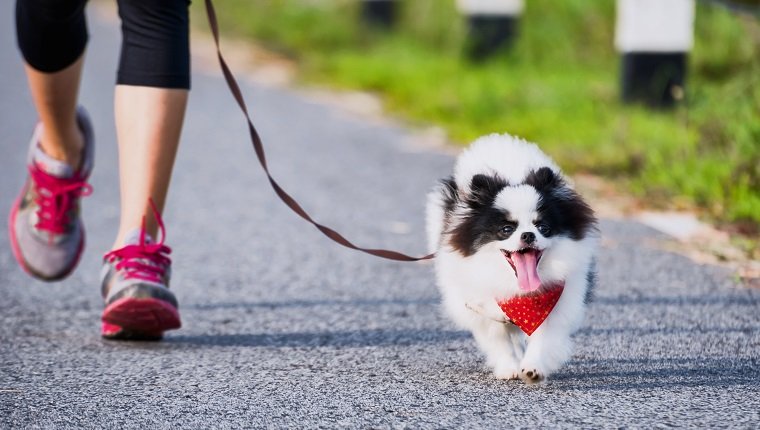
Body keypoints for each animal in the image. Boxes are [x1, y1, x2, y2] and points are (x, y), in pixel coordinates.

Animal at [424, 134, 596, 382]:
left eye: (542, 227)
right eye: (506, 229)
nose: (528, 235)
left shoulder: (558, 305)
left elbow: (543, 339)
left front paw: (533, 368)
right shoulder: (482, 304)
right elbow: (498, 336)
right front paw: (509, 368)